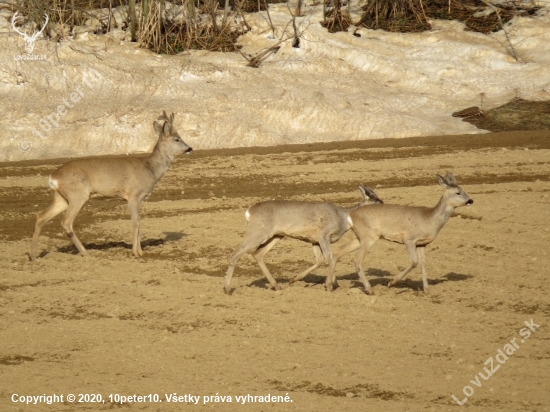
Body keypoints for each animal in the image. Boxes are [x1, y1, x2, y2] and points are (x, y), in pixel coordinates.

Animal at [30, 110, 194, 260]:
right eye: (177, 139)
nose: (190, 148)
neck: (149, 169)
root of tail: (53, 177)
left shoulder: (140, 198)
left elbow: (139, 222)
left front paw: (141, 252)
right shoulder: (133, 195)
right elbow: (136, 222)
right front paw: (136, 253)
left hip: (62, 197)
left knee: (41, 216)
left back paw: (33, 257)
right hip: (78, 194)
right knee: (66, 222)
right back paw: (85, 253)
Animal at [224, 185, 384, 294]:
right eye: (376, 199)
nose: (385, 207)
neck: (344, 218)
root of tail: (248, 212)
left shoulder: (314, 240)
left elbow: (320, 260)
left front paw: (295, 279)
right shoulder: (323, 235)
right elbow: (330, 257)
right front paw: (331, 285)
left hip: (276, 235)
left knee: (257, 254)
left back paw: (276, 286)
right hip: (259, 232)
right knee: (236, 253)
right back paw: (227, 289)